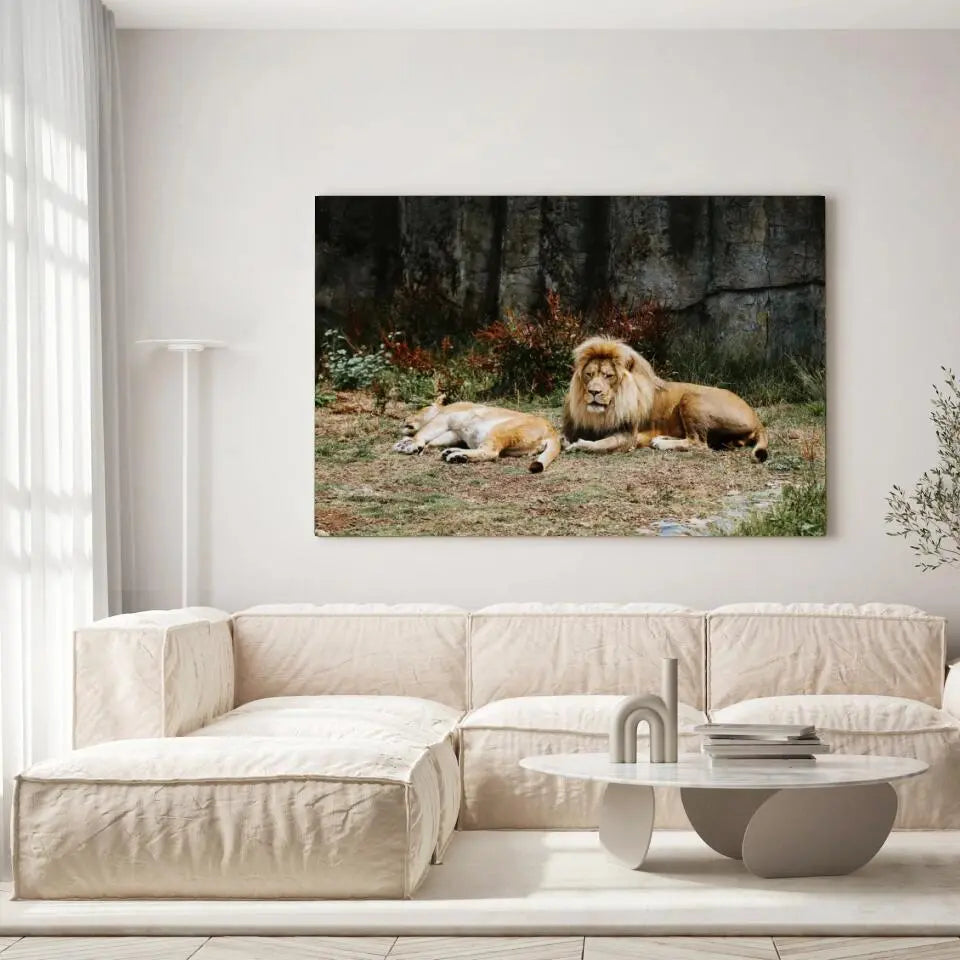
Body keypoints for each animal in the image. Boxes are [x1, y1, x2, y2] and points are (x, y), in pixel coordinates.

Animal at [393, 395, 562, 473]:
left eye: (419, 408)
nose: (404, 419)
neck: (441, 409)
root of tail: (553, 431)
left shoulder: (443, 419)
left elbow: (422, 434)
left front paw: (410, 445)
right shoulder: (454, 433)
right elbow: (434, 440)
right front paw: (411, 445)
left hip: (500, 429)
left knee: (491, 452)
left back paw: (456, 456)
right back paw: (453, 453)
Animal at [562, 337, 769, 462]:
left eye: (608, 376)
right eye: (589, 374)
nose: (593, 391)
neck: (606, 410)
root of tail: (757, 418)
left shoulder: (629, 435)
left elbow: (601, 444)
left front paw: (577, 445)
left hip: (691, 397)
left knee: (699, 443)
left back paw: (661, 443)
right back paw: (661, 438)